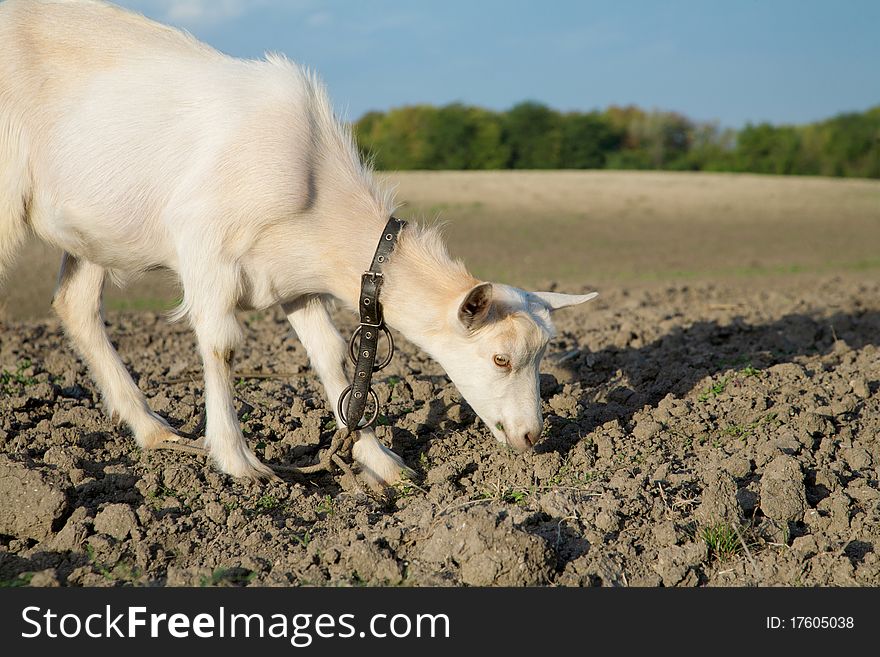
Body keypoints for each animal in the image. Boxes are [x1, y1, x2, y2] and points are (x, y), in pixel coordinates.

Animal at [0, 0, 596, 482]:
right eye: (500, 359)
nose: (531, 438)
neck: (315, 187)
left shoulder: (295, 280)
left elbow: (332, 358)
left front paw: (382, 463)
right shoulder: (206, 248)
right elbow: (221, 345)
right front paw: (238, 462)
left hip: (94, 227)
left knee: (75, 305)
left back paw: (154, 431)